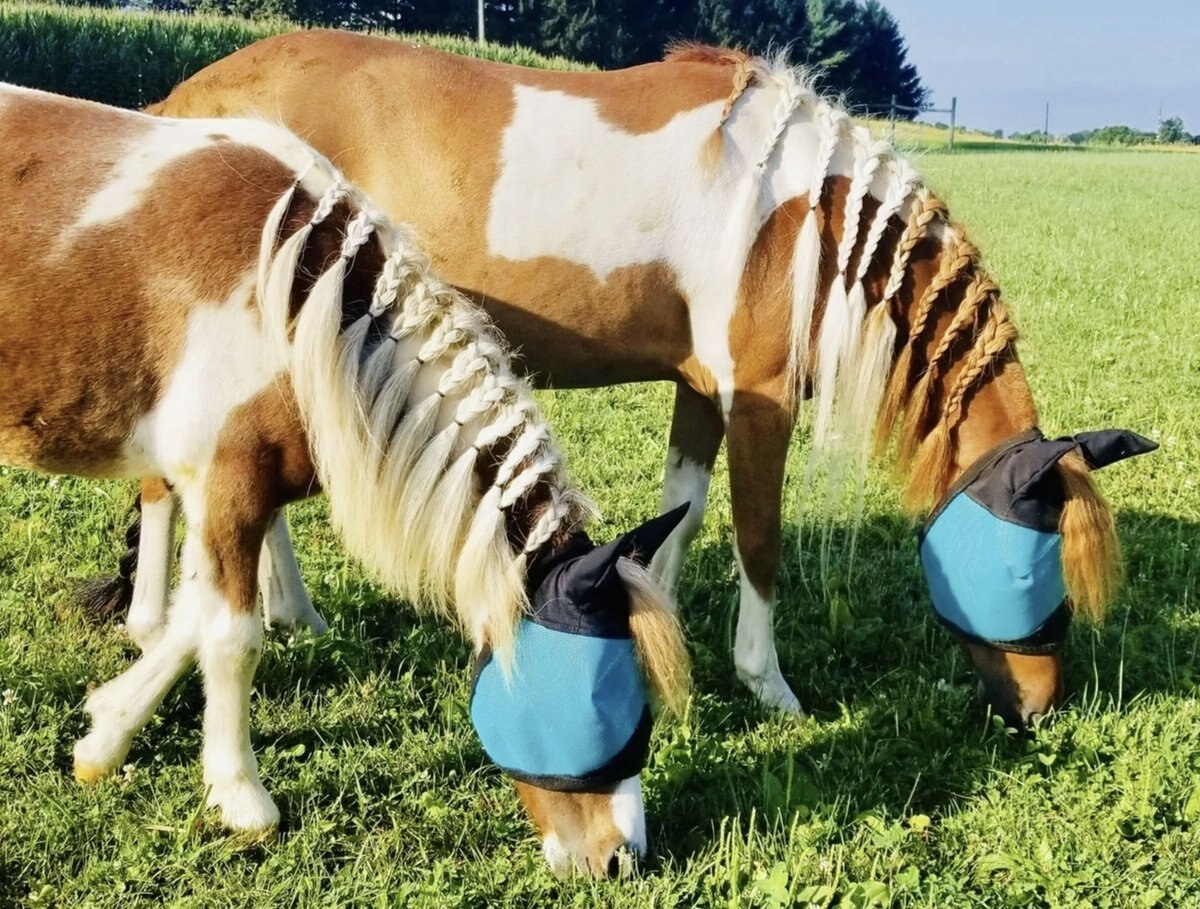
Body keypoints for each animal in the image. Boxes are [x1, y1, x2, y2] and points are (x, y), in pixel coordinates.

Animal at [0, 85, 691, 882]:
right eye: (598, 697)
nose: (622, 859)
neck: (294, 290)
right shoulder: (229, 480)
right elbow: (229, 634)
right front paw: (242, 796)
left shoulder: (233, 486)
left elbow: (196, 613)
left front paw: (103, 736)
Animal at [136, 32, 1137, 724]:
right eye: (1030, 570)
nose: (1042, 706)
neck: (805, 212)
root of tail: (186, 98)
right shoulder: (759, 400)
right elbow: (758, 539)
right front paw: (768, 683)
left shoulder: (701, 389)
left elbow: (681, 515)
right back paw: (150, 623)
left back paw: (294, 611)